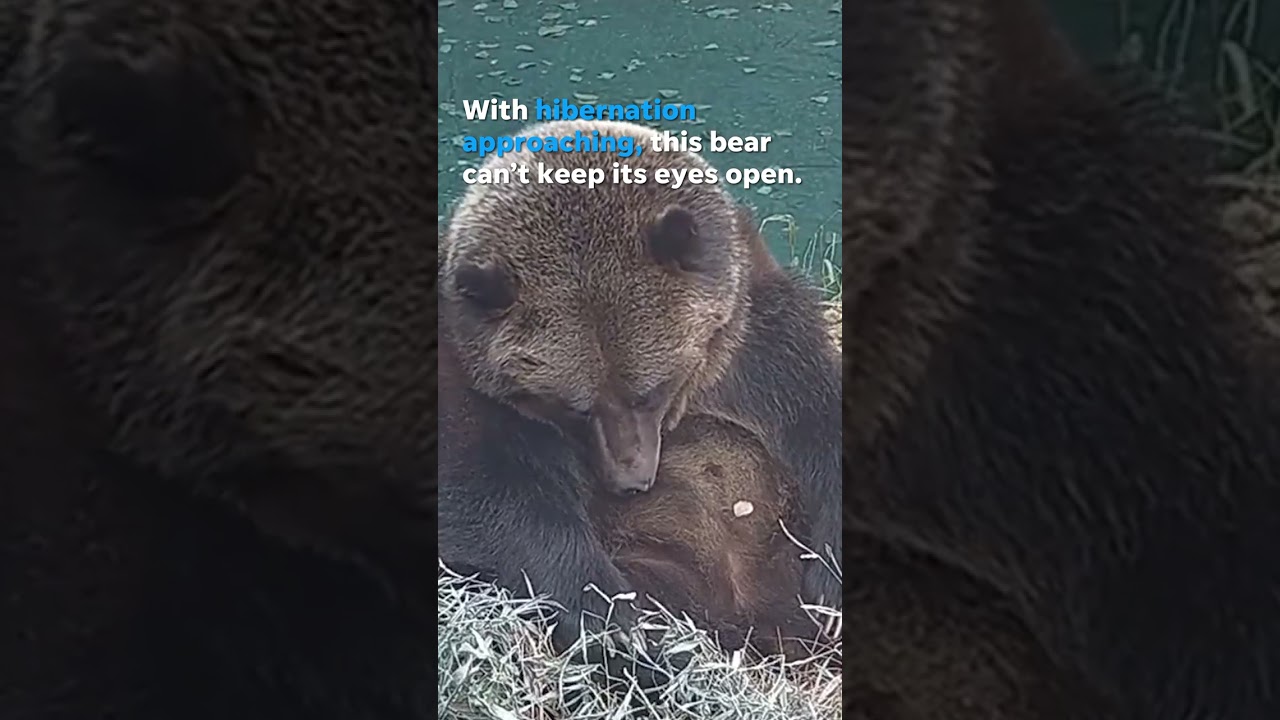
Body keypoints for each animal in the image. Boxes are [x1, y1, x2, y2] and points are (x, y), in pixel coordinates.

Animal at [437, 118, 842, 664]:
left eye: (650, 391)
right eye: (575, 408)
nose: (632, 480)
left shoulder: (765, 344)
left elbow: (821, 426)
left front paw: (831, 585)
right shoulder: (476, 392)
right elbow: (493, 493)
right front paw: (611, 620)